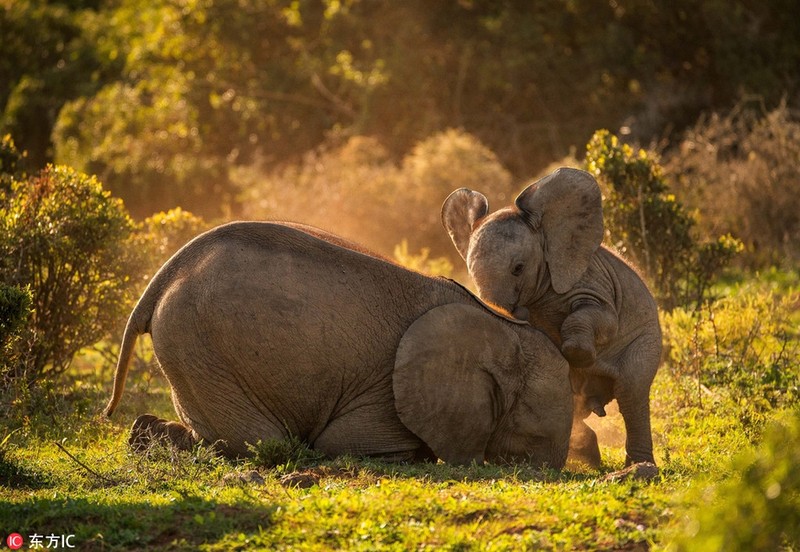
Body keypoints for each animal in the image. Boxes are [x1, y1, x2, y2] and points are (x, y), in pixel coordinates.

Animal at [104, 222, 576, 468]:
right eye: (533, 429)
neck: (496, 324)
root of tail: (163, 277)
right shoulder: (385, 394)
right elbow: (354, 444)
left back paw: (145, 435)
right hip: (199, 345)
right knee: (260, 442)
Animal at [440, 167, 660, 466]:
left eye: (518, 268)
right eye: (470, 273)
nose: (513, 310)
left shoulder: (591, 279)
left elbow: (602, 318)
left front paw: (580, 355)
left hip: (647, 339)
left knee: (632, 391)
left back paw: (638, 465)